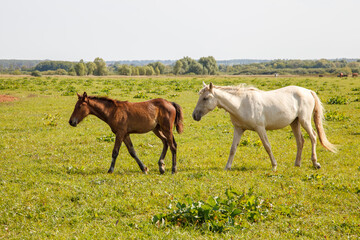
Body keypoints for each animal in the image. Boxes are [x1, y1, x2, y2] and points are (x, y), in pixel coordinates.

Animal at [193, 82, 336, 171]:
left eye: (205, 98)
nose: (194, 115)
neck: (241, 103)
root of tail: (308, 91)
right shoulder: (238, 129)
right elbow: (233, 148)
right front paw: (227, 167)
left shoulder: (260, 128)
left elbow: (267, 146)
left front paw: (274, 166)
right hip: (294, 122)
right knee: (300, 141)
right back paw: (297, 164)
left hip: (304, 120)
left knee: (313, 137)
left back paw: (315, 163)